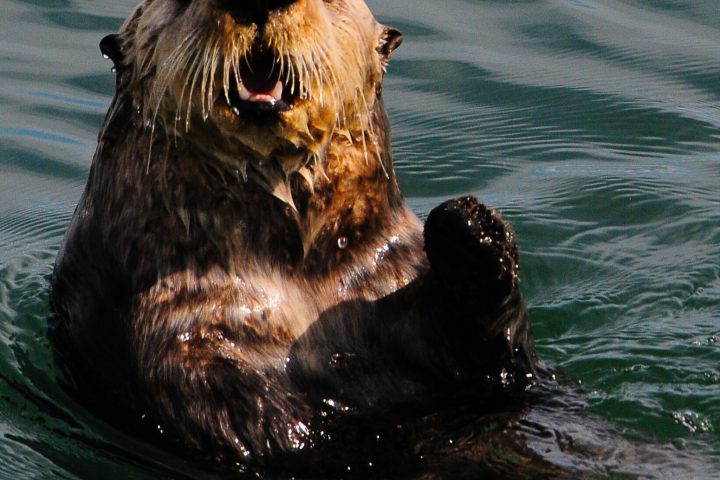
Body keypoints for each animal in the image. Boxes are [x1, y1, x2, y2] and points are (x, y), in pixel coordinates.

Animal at [49, 0, 536, 471]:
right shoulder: (164, 315)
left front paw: (468, 225)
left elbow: (506, 360)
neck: (296, 277)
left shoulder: (391, 275)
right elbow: (217, 401)